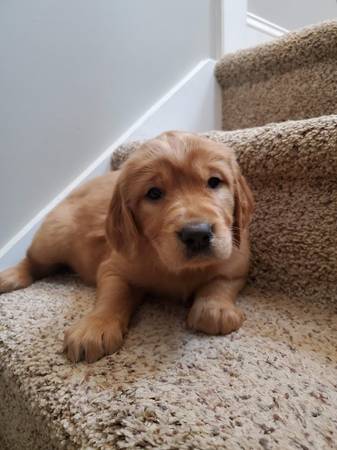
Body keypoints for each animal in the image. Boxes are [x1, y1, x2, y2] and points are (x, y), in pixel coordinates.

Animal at [0, 131, 253, 362]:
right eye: (154, 193)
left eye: (214, 182)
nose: (197, 235)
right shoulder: (115, 266)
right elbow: (114, 294)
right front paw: (95, 327)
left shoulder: (236, 258)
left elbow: (220, 283)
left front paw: (215, 310)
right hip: (53, 237)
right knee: (33, 260)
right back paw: (10, 276)